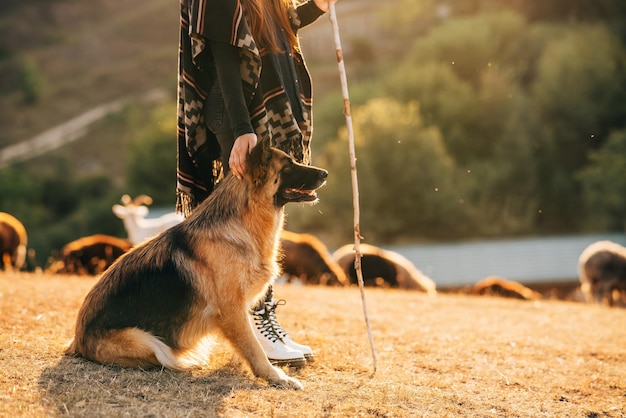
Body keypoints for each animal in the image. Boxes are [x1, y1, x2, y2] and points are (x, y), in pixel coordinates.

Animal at [66, 139, 326, 390]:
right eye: (288, 166)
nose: (325, 173)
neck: (240, 225)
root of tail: (77, 340)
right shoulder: (232, 310)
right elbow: (255, 348)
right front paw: (276, 377)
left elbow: (248, 344)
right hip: (147, 340)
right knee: (163, 357)